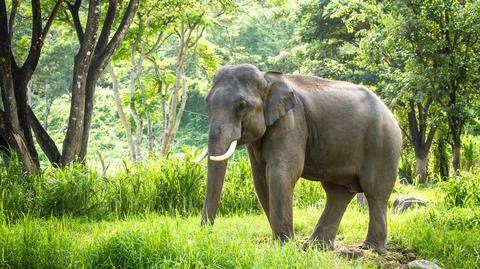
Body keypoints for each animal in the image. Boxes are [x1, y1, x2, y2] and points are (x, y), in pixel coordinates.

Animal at [194, 63, 402, 252]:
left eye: (242, 105)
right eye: (206, 102)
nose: (206, 237)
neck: (267, 78)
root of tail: (389, 111)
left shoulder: (292, 121)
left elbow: (280, 173)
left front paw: (283, 245)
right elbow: (260, 180)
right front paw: (283, 243)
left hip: (383, 144)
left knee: (375, 191)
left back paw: (371, 249)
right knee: (338, 192)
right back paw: (316, 247)